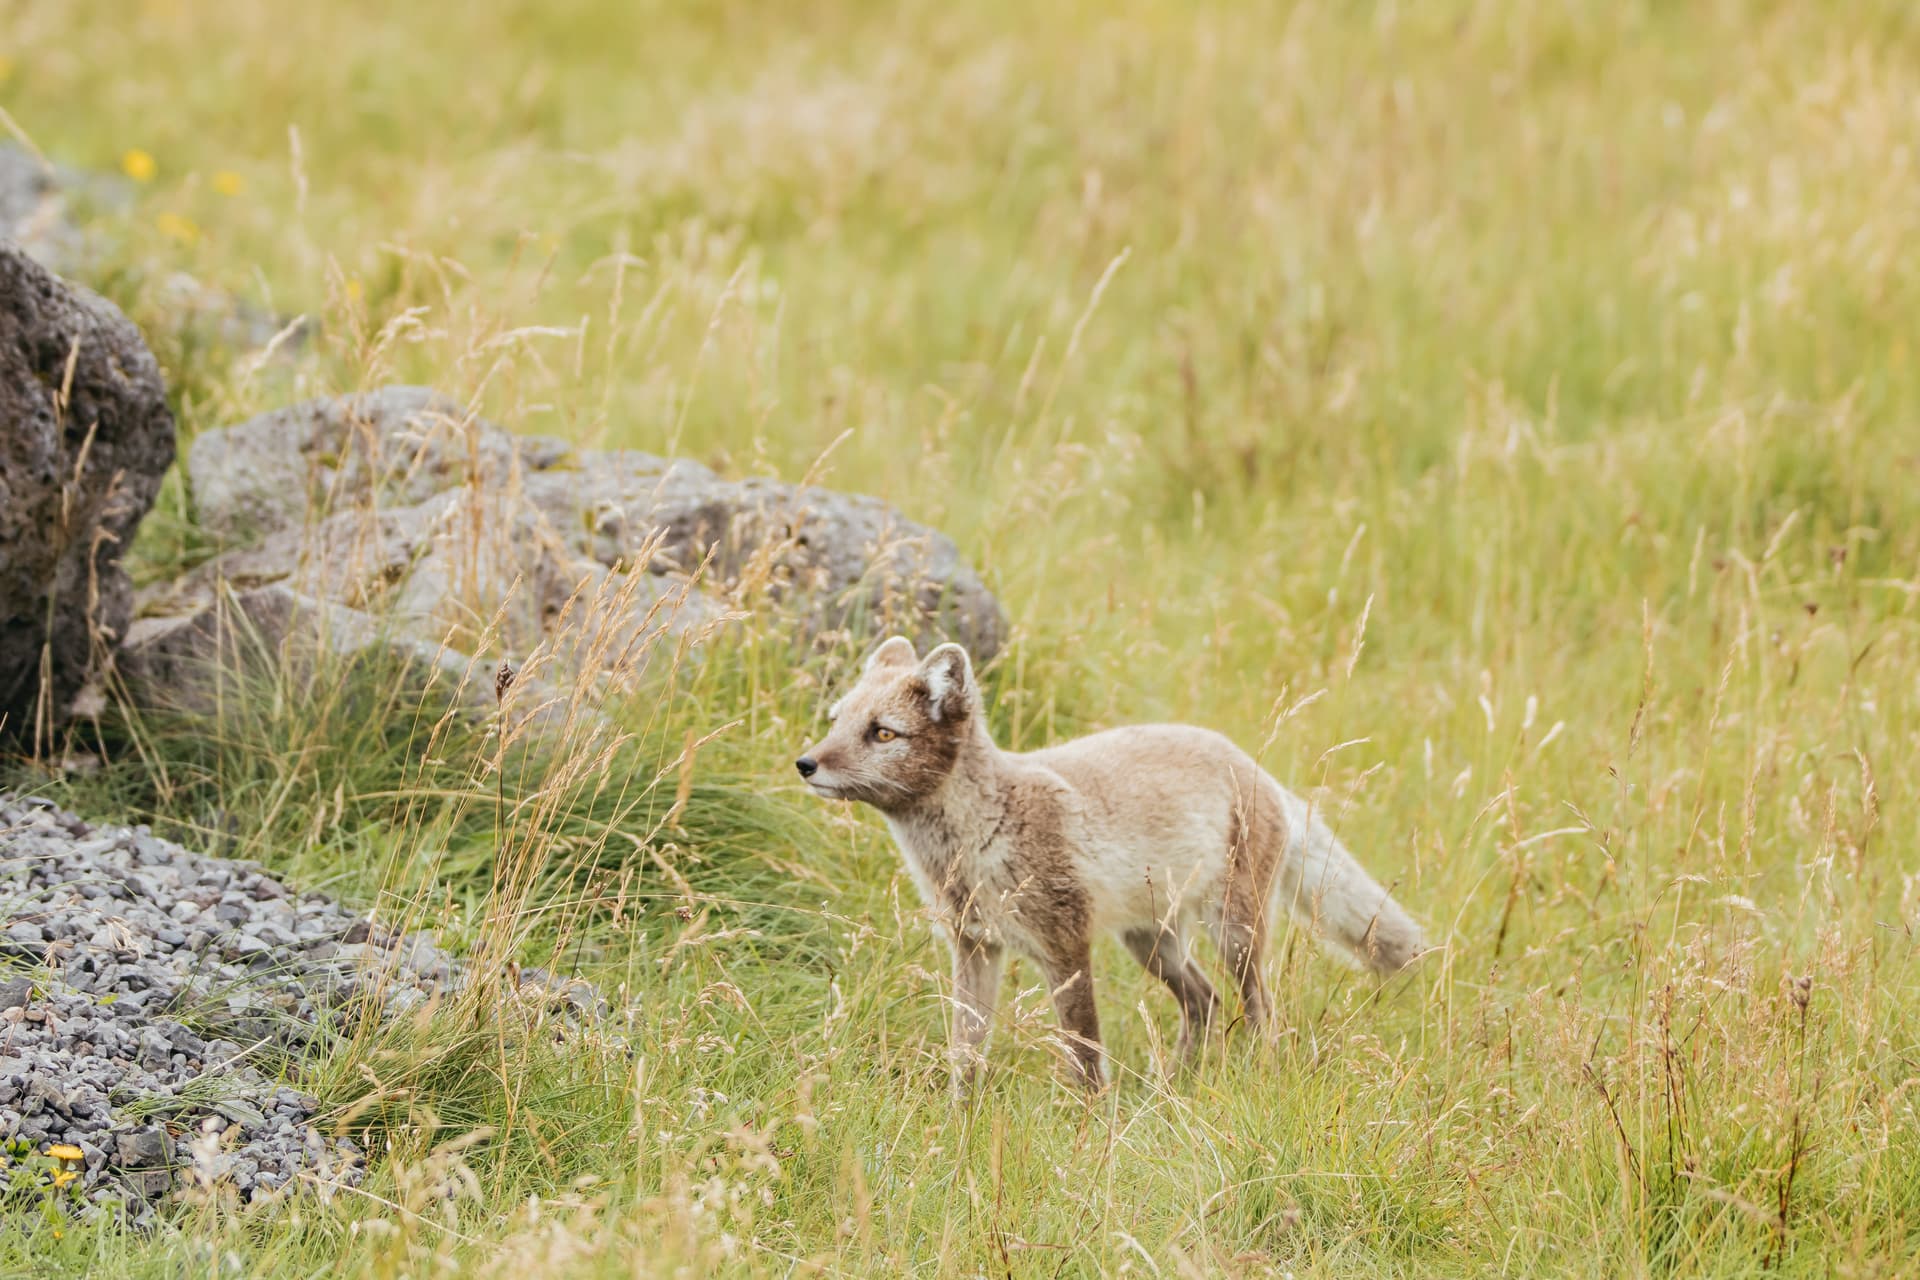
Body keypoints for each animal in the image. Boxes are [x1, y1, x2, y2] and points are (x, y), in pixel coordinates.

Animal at [796, 636, 1424, 1093]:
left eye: (882, 733)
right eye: (834, 721)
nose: (805, 763)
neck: (984, 832)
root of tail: (1250, 763)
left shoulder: (1065, 948)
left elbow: (1085, 1052)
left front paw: (1090, 1126)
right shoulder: (975, 946)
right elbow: (966, 1049)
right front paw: (960, 1118)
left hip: (1234, 935)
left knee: (1259, 1009)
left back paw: (1256, 1074)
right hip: (1153, 945)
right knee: (1205, 1000)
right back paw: (1172, 1085)